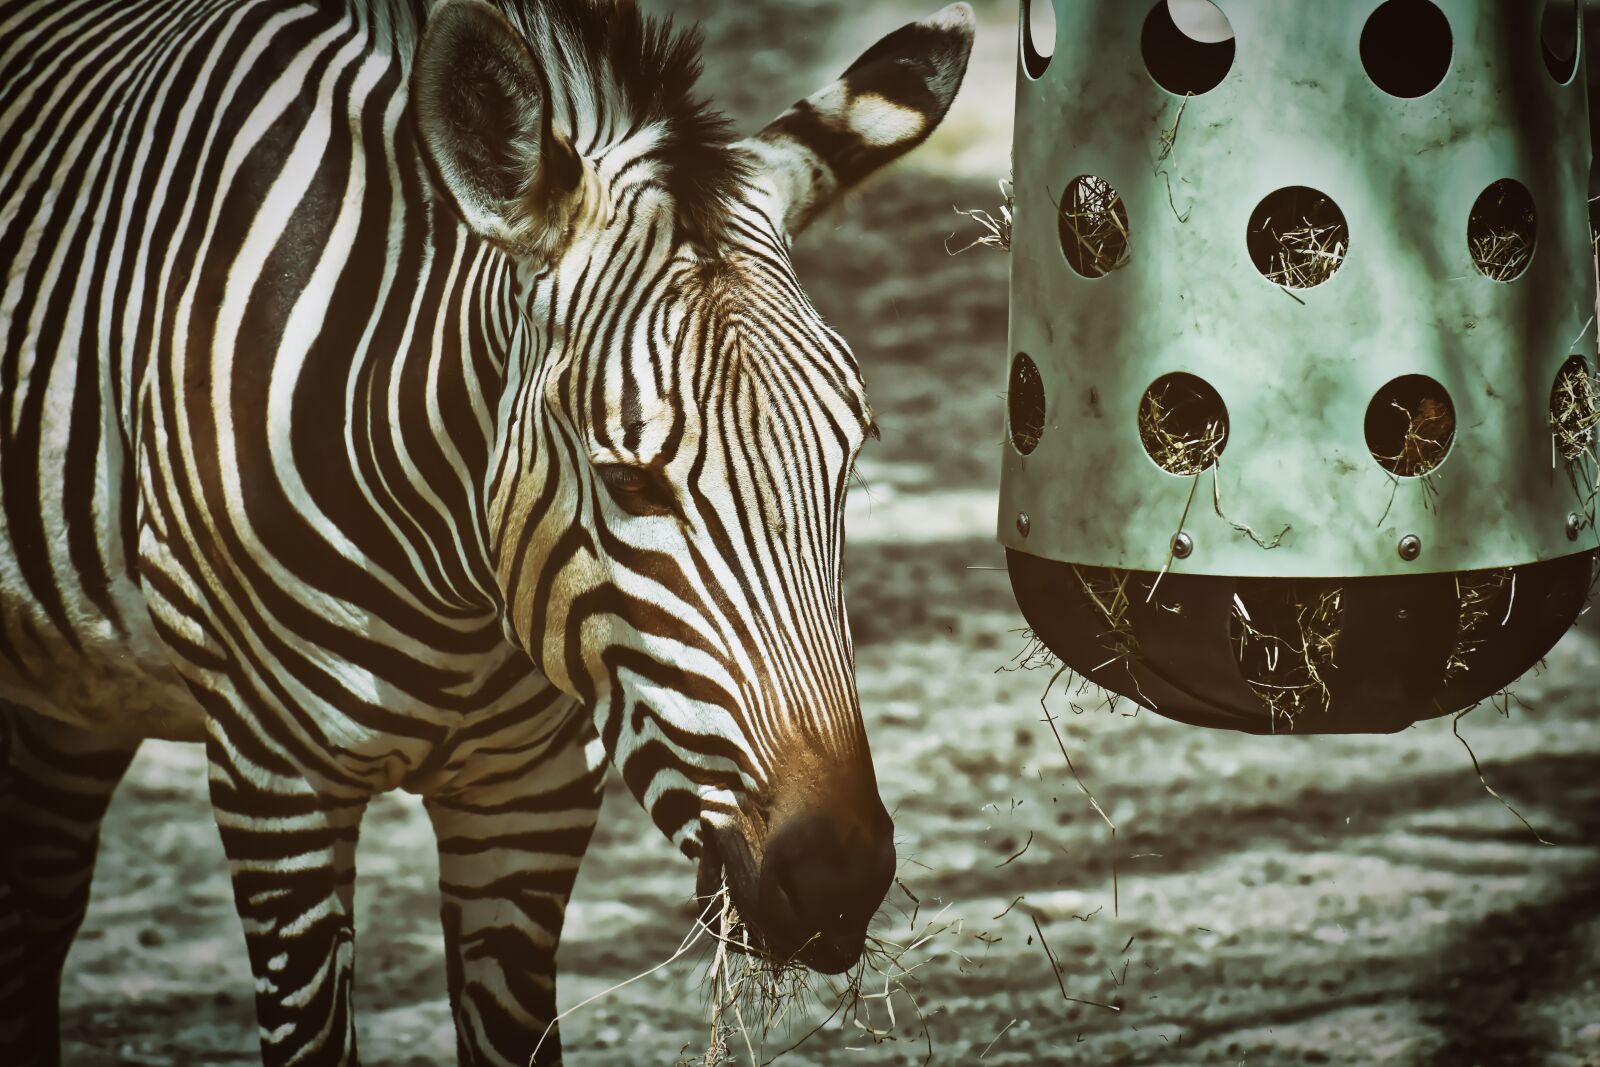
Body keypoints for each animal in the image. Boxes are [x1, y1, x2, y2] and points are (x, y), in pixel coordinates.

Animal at [0, 0, 974, 1063]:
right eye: (628, 479)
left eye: (850, 456)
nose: (838, 884)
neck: (453, 588)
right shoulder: (274, 783)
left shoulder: (530, 797)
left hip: (75, 688)